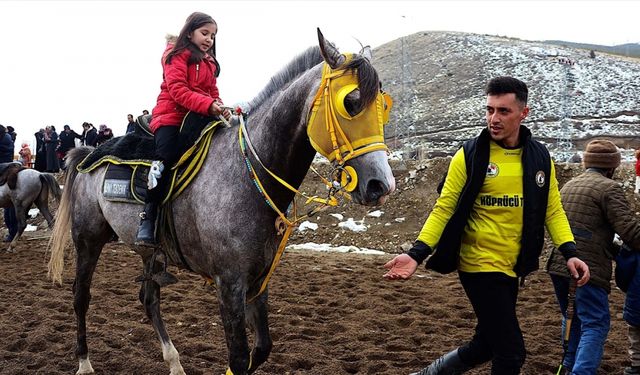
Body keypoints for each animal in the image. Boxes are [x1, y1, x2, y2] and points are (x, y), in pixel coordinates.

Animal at [47, 30, 396, 375]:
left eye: (383, 105)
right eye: (350, 102)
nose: (381, 185)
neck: (247, 174)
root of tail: (87, 153)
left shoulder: (258, 279)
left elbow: (261, 348)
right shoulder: (228, 283)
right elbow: (239, 357)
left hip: (148, 253)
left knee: (149, 298)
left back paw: (174, 361)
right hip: (88, 240)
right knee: (81, 296)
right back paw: (84, 362)